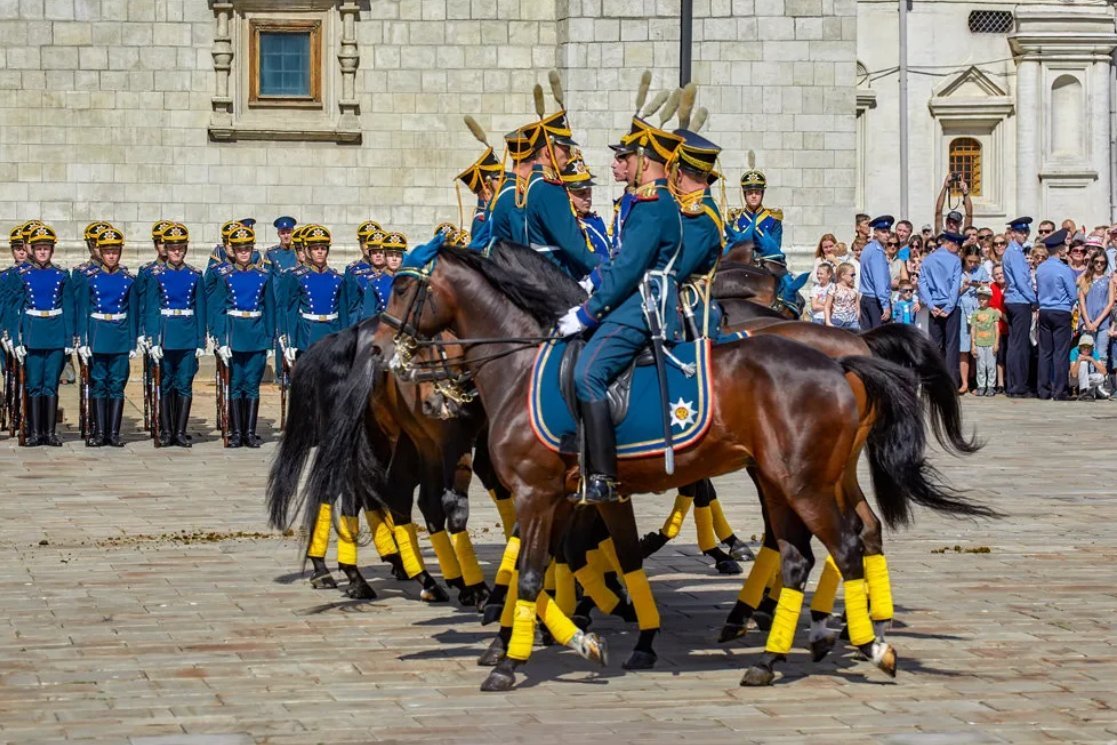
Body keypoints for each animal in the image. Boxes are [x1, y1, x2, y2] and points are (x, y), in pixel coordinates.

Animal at [377, 244, 996, 692]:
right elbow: (586, 559)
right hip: (799, 479)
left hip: (803, 483)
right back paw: (784, 650)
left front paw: (512, 656)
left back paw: (858, 641)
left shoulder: (538, 493)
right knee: (826, 545)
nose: (383, 352)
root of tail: (845, 356)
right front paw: (587, 634)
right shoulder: (575, 495)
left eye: (404, 286)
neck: (525, 363)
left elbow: (533, 571)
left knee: (842, 545)